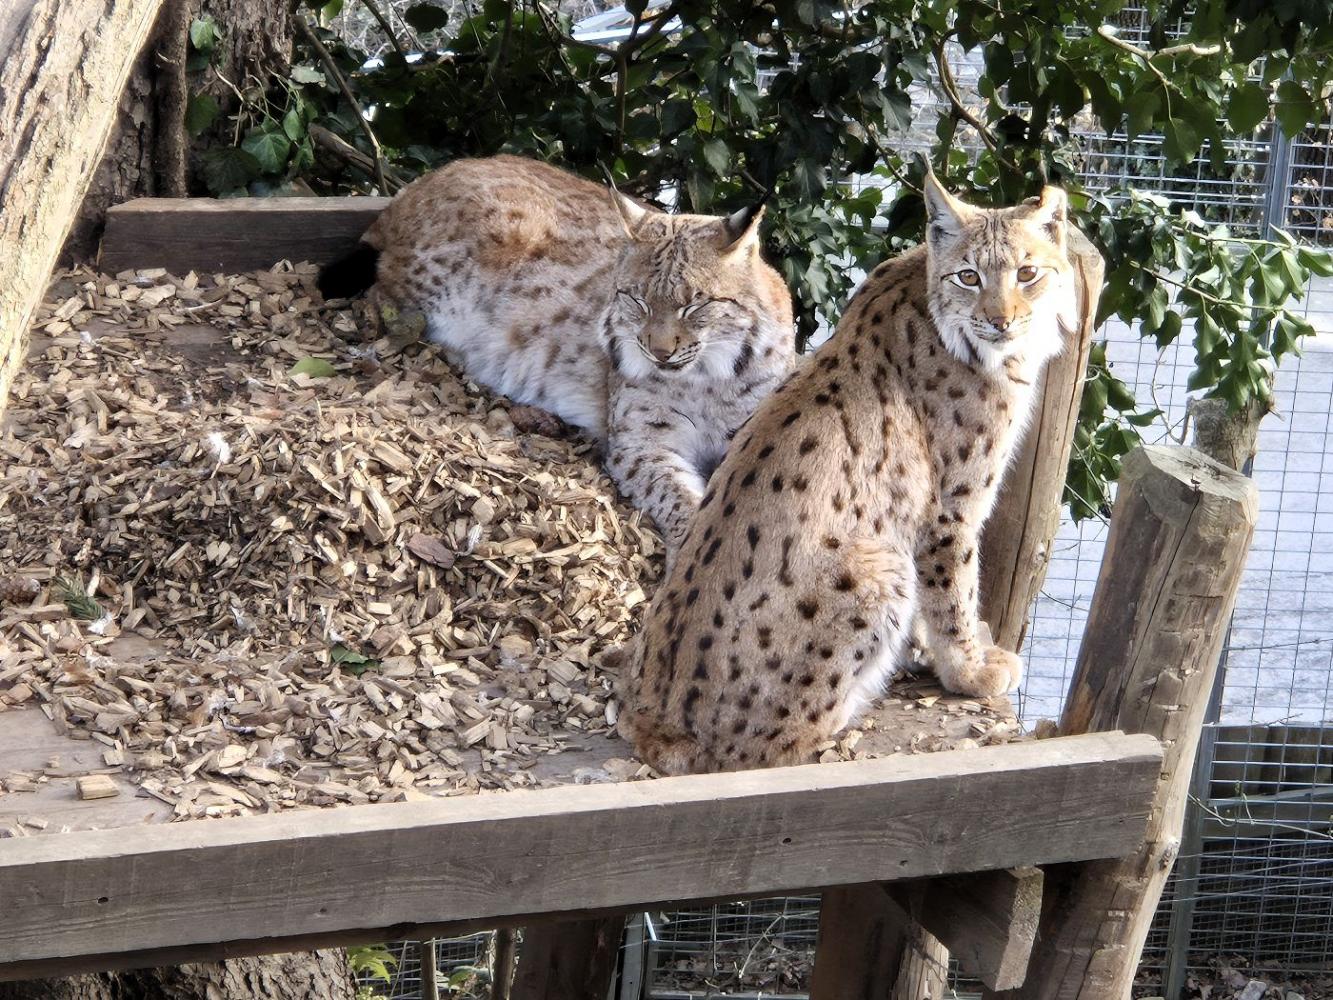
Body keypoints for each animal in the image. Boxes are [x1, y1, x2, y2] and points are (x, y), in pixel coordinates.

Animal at [317, 154, 795, 556]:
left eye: (694, 306)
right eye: (637, 302)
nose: (658, 352)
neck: (707, 377)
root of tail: (424, 180)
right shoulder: (642, 444)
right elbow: (676, 497)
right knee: (375, 297)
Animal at [616, 173, 1077, 774]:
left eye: (1028, 274)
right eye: (969, 276)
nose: (1001, 322)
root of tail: (657, 722)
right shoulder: (951, 508)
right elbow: (954, 592)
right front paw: (969, 671)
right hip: (880, 567)